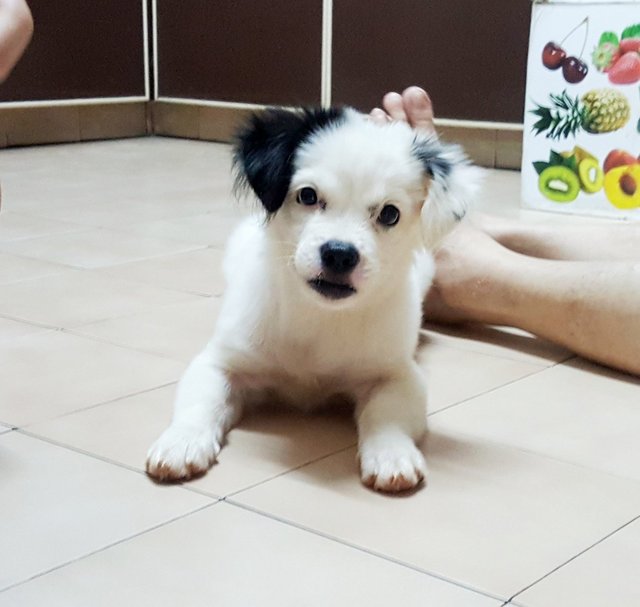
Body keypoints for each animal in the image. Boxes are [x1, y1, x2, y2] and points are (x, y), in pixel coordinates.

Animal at [148, 105, 478, 494]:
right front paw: (181, 441)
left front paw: (391, 453)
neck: (317, 315)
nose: (339, 254)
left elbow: (387, 415)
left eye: (389, 213)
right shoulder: (221, 361)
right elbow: (201, 400)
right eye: (307, 195)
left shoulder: (397, 375)